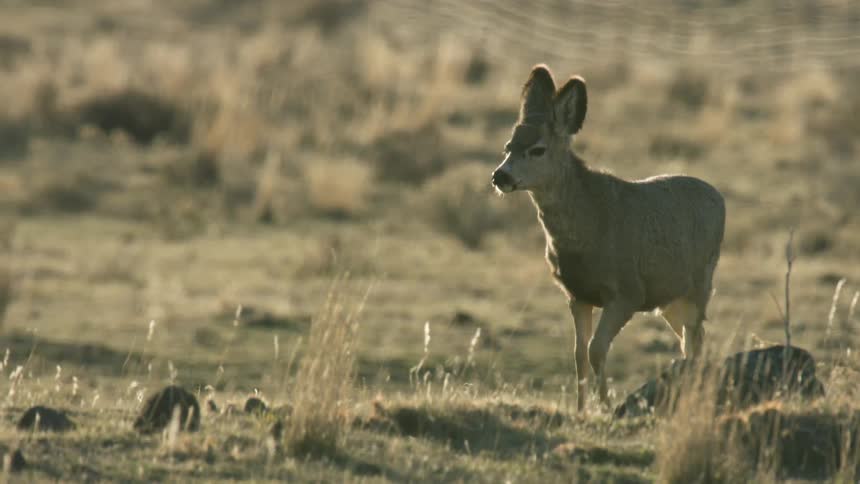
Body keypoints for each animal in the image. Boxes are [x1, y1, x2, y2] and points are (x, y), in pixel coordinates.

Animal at [491, 65, 725, 410]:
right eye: (508, 146)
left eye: (537, 149)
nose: (500, 176)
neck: (587, 230)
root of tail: (719, 197)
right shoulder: (577, 294)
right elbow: (578, 355)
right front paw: (580, 409)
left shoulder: (627, 291)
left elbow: (596, 350)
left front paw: (605, 407)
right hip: (670, 298)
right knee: (691, 341)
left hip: (700, 284)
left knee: (695, 340)